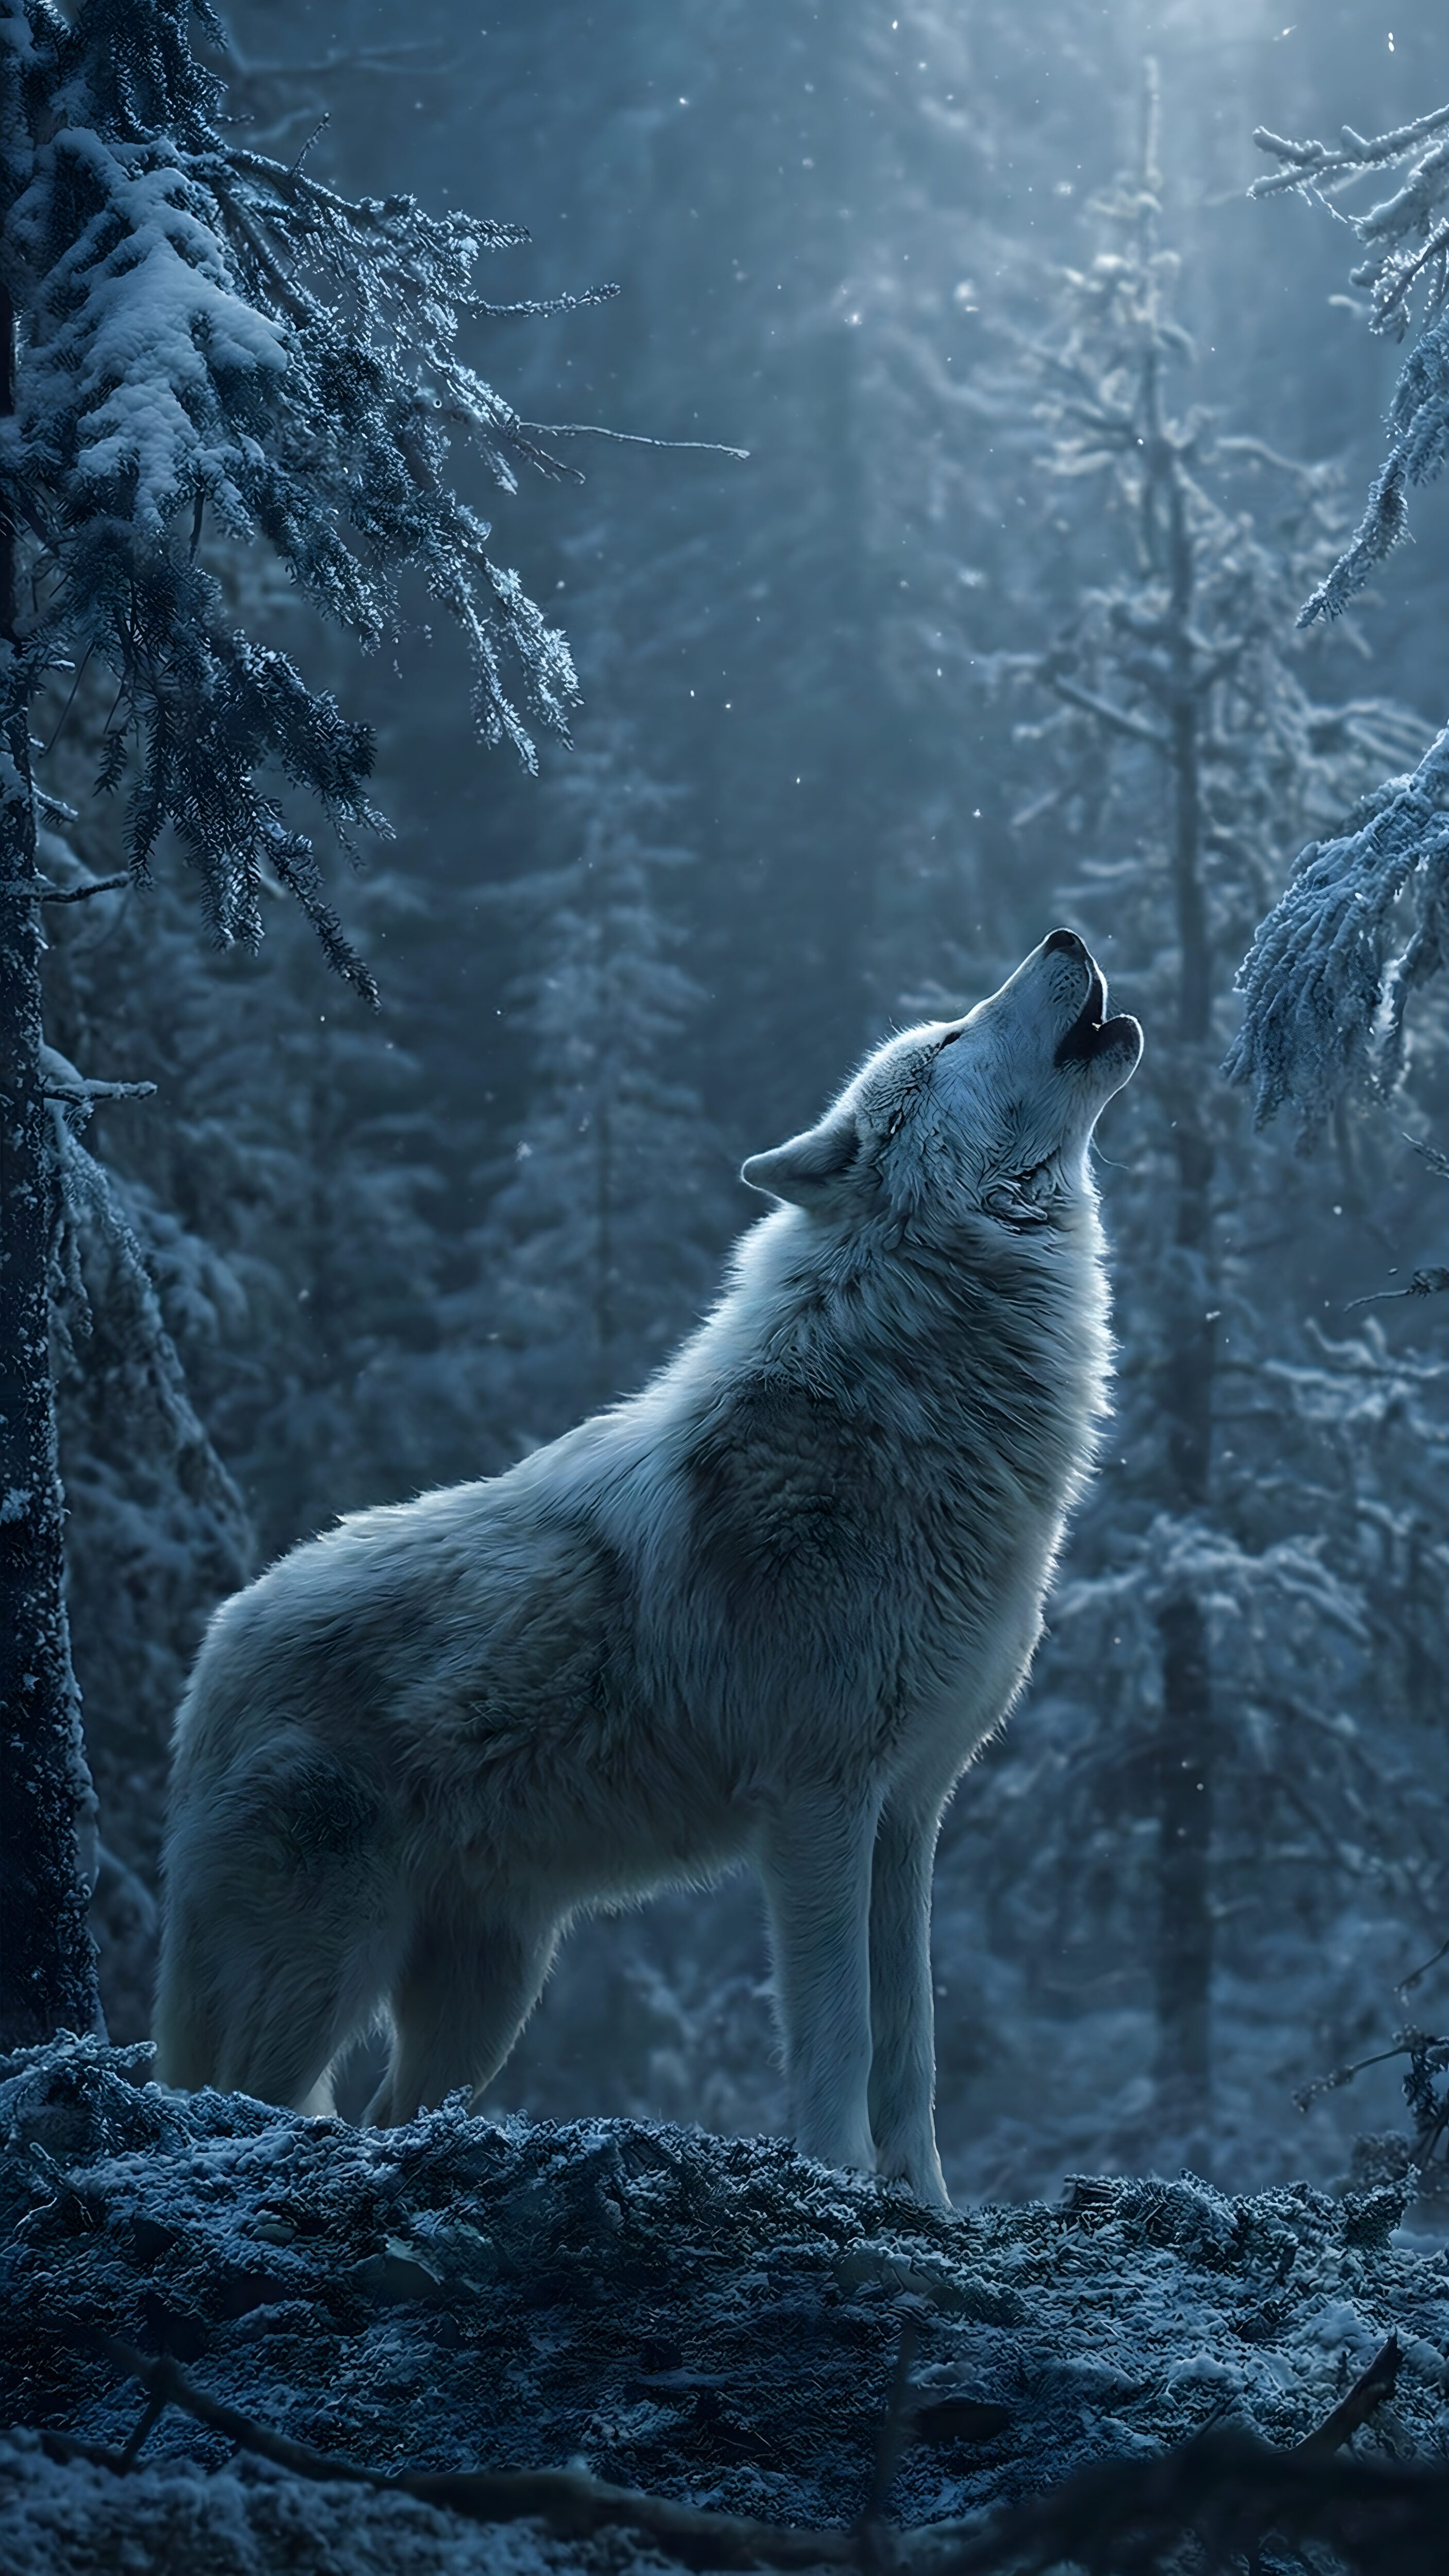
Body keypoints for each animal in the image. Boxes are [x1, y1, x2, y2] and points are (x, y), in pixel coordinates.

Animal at [154, 928, 1139, 2206]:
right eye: (950, 1036)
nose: (1062, 936)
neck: (910, 1398)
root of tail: (215, 1646)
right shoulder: (817, 1806)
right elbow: (839, 2038)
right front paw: (835, 2182)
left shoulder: (909, 1811)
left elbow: (910, 2050)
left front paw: (924, 2204)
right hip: (321, 1973)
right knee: (240, 2104)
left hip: (487, 1995)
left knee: (384, 2112)